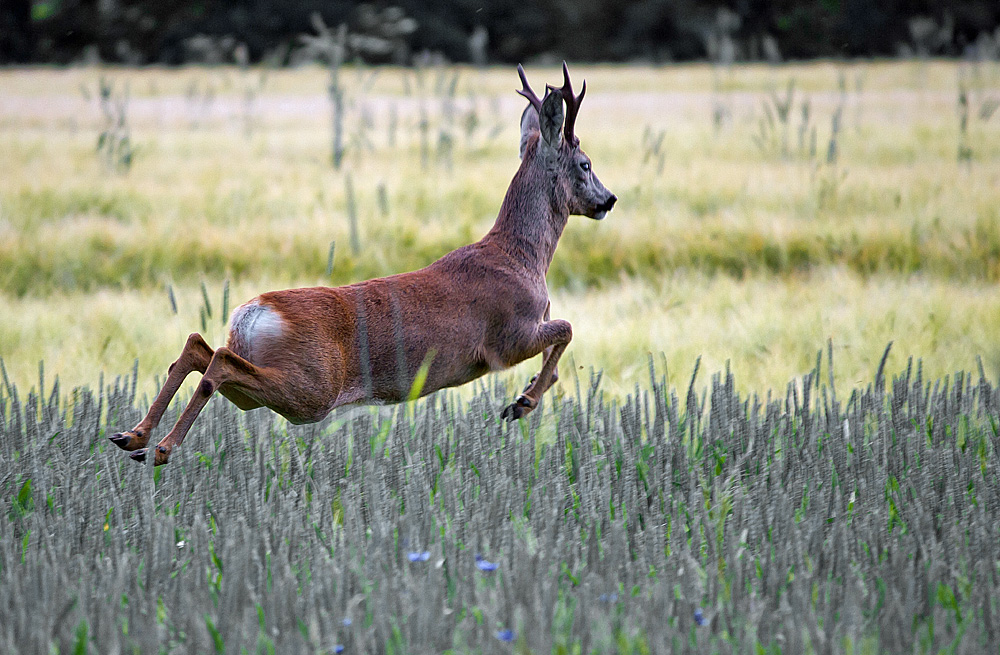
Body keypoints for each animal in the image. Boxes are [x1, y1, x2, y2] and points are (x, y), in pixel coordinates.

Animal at [113, 62, 616, 466]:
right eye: (586, 164)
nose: (609, 199)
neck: (523, 258)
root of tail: (251, 312)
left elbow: (561, 338)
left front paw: (527, 394)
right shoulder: (506, 338)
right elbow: (568, 328)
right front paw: (522, 401)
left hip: (274, 385)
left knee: (199, 347)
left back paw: (132, 436)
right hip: (310, 390)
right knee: (217, 361)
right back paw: (160, 449)